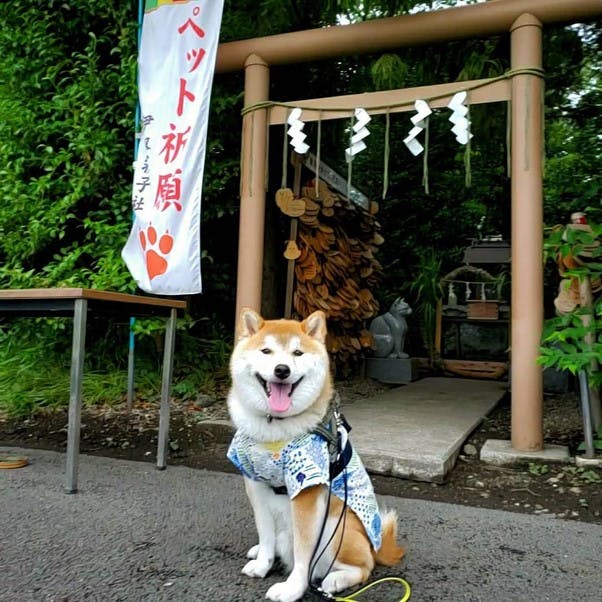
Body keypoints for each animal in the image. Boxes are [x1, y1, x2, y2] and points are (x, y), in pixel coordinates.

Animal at [225, 308, 404, 596]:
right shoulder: (255, 483)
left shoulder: (306, 490)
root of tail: (375, 547)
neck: (275, 428)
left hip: (337, 526)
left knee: (364, 566)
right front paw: (263, 564)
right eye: (266, 351)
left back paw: (335, 580)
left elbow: (302, 552)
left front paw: (292, 589)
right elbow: (265, 533)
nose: (282, 370)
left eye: (297, 353)